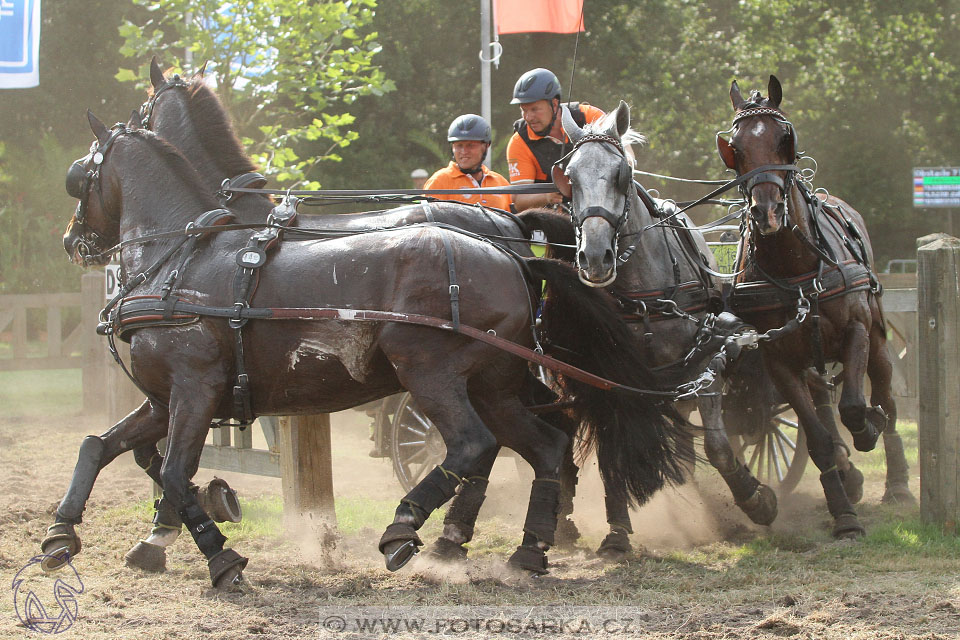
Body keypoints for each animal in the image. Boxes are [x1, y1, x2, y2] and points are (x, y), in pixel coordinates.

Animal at [47, 112, 688, 588]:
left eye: (81, 175)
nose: (74, 240)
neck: (181, 262)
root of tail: (514, 255)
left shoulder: (193, 389)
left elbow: (177, 473)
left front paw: (220, 557)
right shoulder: (164, 399)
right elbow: (99, 445)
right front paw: (64, 535)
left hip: (429, 373)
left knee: (473, 445)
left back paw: (407, 530)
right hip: (494, 385)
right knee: (547, 446)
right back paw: (526, 551)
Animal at [544, 101, 776, 556]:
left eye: (622, 174)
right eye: (569, 177)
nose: (594, 257)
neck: (643, 296)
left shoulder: (705, 365)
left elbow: (719, 447)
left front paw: (755, 499)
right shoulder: (607, 380)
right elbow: (611, 456)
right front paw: (618, 531)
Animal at [720, 74, 916, 536]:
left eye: (785, 137)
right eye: (734, 147)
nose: (767, 212)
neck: (795, 269)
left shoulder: (857, 332)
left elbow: (856, 407)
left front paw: (867, 431)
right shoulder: (777, 358)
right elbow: (819, 438)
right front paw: (843, 512)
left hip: (878, 342)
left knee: (886, 398)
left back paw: (897, 483)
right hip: (809, 356)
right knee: (822, 400)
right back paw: (850, 473)